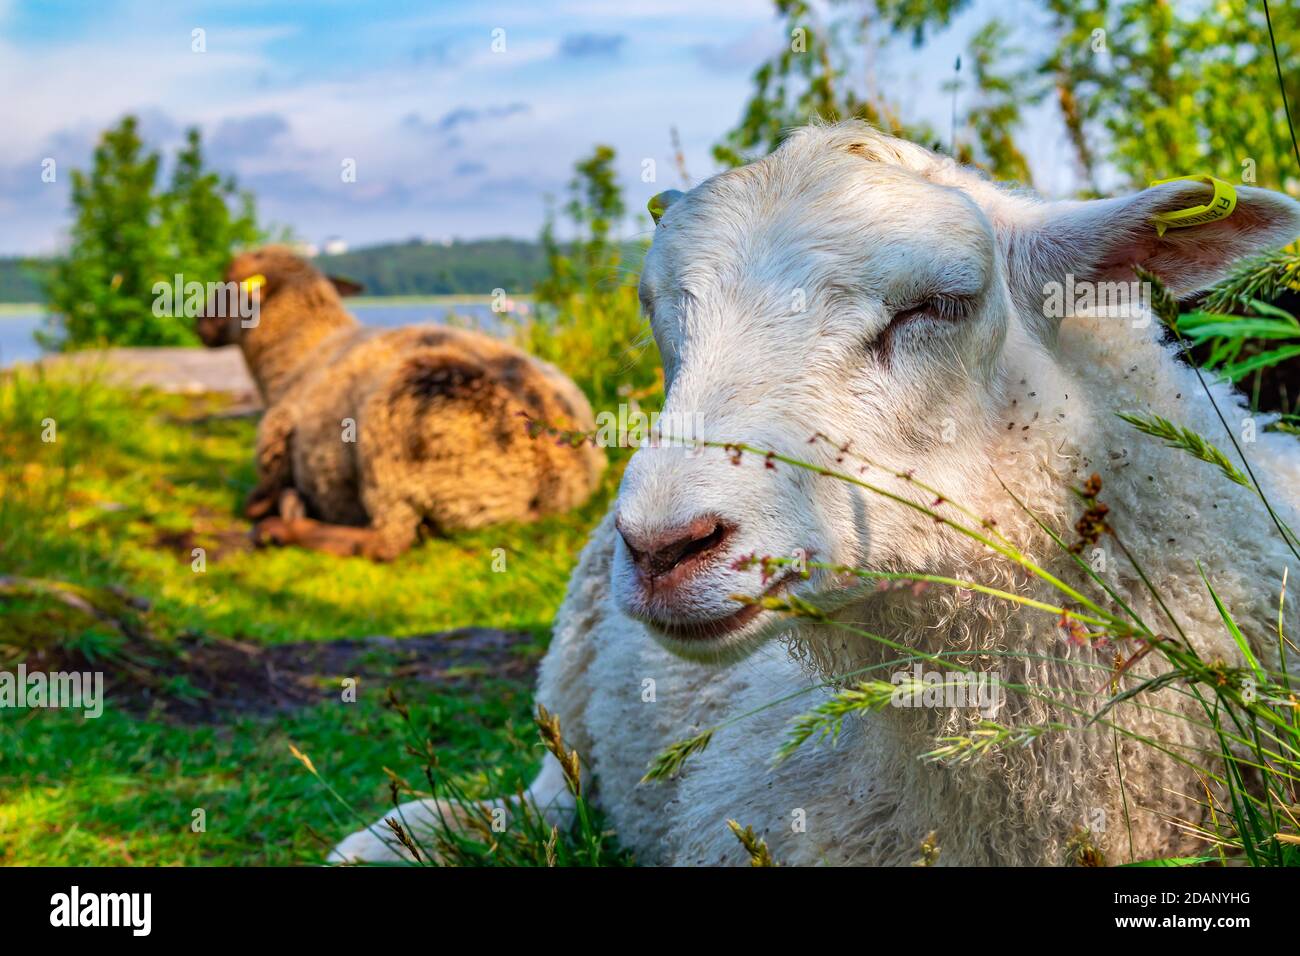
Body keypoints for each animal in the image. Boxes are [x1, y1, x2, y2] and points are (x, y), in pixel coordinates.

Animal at [196, 244, 603, 561]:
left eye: (227, 284)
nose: (200, 324)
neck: (298, 353)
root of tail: (556, 477)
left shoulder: (275, 442)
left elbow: (254, 500)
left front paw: (280, 507)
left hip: (394, 446)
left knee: (388, 542)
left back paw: (283, 529)